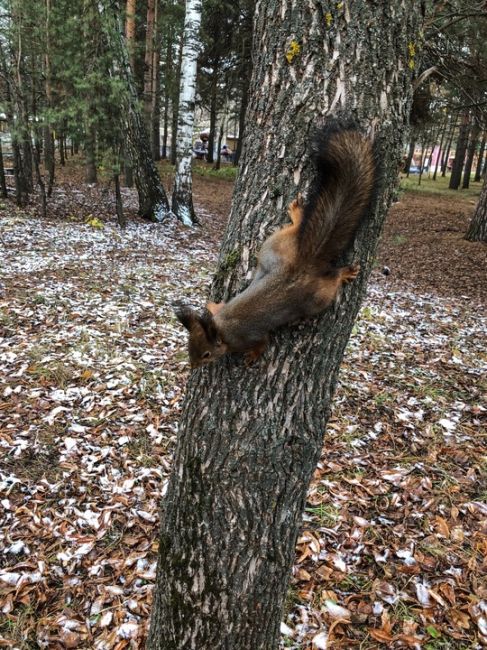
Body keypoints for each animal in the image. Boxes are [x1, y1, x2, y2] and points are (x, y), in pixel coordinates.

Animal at [176, 122, 378, 368]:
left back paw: (344, 273)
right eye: (189, 347)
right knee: (295, 229)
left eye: (206, 354)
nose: (193, 366)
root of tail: (304, 263)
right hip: (275, 244)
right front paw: (210, 305)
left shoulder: (250, 336)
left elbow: (262, 344)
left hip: (319, 296)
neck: (223, 328)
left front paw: (252, 356)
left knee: (332, 281)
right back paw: (298, 213)